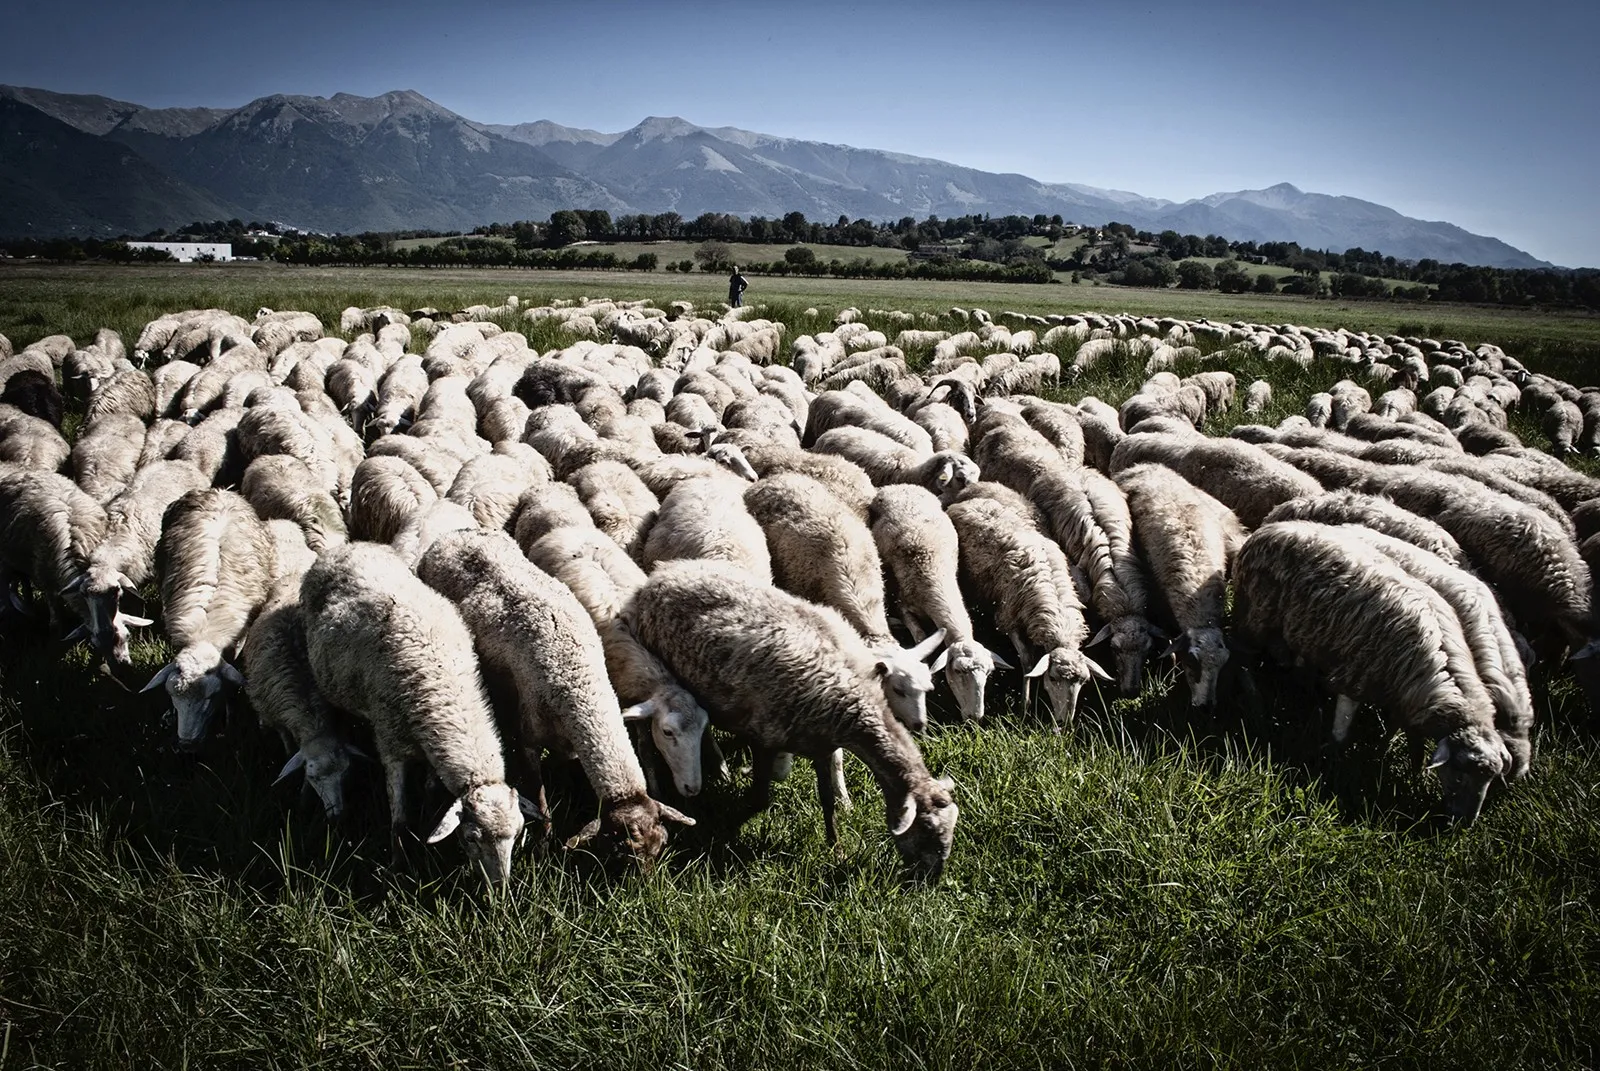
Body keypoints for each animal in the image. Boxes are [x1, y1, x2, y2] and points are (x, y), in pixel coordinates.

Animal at [302, 542, 531, 884]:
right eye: (471, 838)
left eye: (516, 834)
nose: (499, 889)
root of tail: (348, 547)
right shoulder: (390, 744)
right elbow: (399, 818)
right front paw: (398, 866)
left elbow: (430, 789)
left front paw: (426, 818)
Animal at [628, 559, 958, 879]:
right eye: (927, 828)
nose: (932, 878)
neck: (848, 704)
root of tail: (664, 572)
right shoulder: (764, 738)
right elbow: (760, 799)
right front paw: (727, 825)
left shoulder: (822, 747)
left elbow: (827, 800)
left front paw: (836, 848)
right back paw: (718, 767)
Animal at [869, 485, 1008, 722]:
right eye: (959, 671)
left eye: (989, 673)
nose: (975, 717)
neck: (933, 572)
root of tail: (901, 486)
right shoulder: (904, 606)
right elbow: (920, 637)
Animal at [946, 492, 1106, 728]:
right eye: (1053, 678)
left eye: (1083, 681)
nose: (1064, 723)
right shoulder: (1009, 617)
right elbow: (1028, 661)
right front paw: (1026, 705)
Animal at [1231, 521, 1512, 823]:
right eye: (1460, 774)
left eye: (1489, 780)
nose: (1465, 823)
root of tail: (1266, 530)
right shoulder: (1357, 675)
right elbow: (1341, 730)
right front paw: (1335, 760)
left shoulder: (1403, 698)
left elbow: (1404, 737)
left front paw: (1403, 764)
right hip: (1254, 612)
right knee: (1240, 655)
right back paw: (1255, 701)